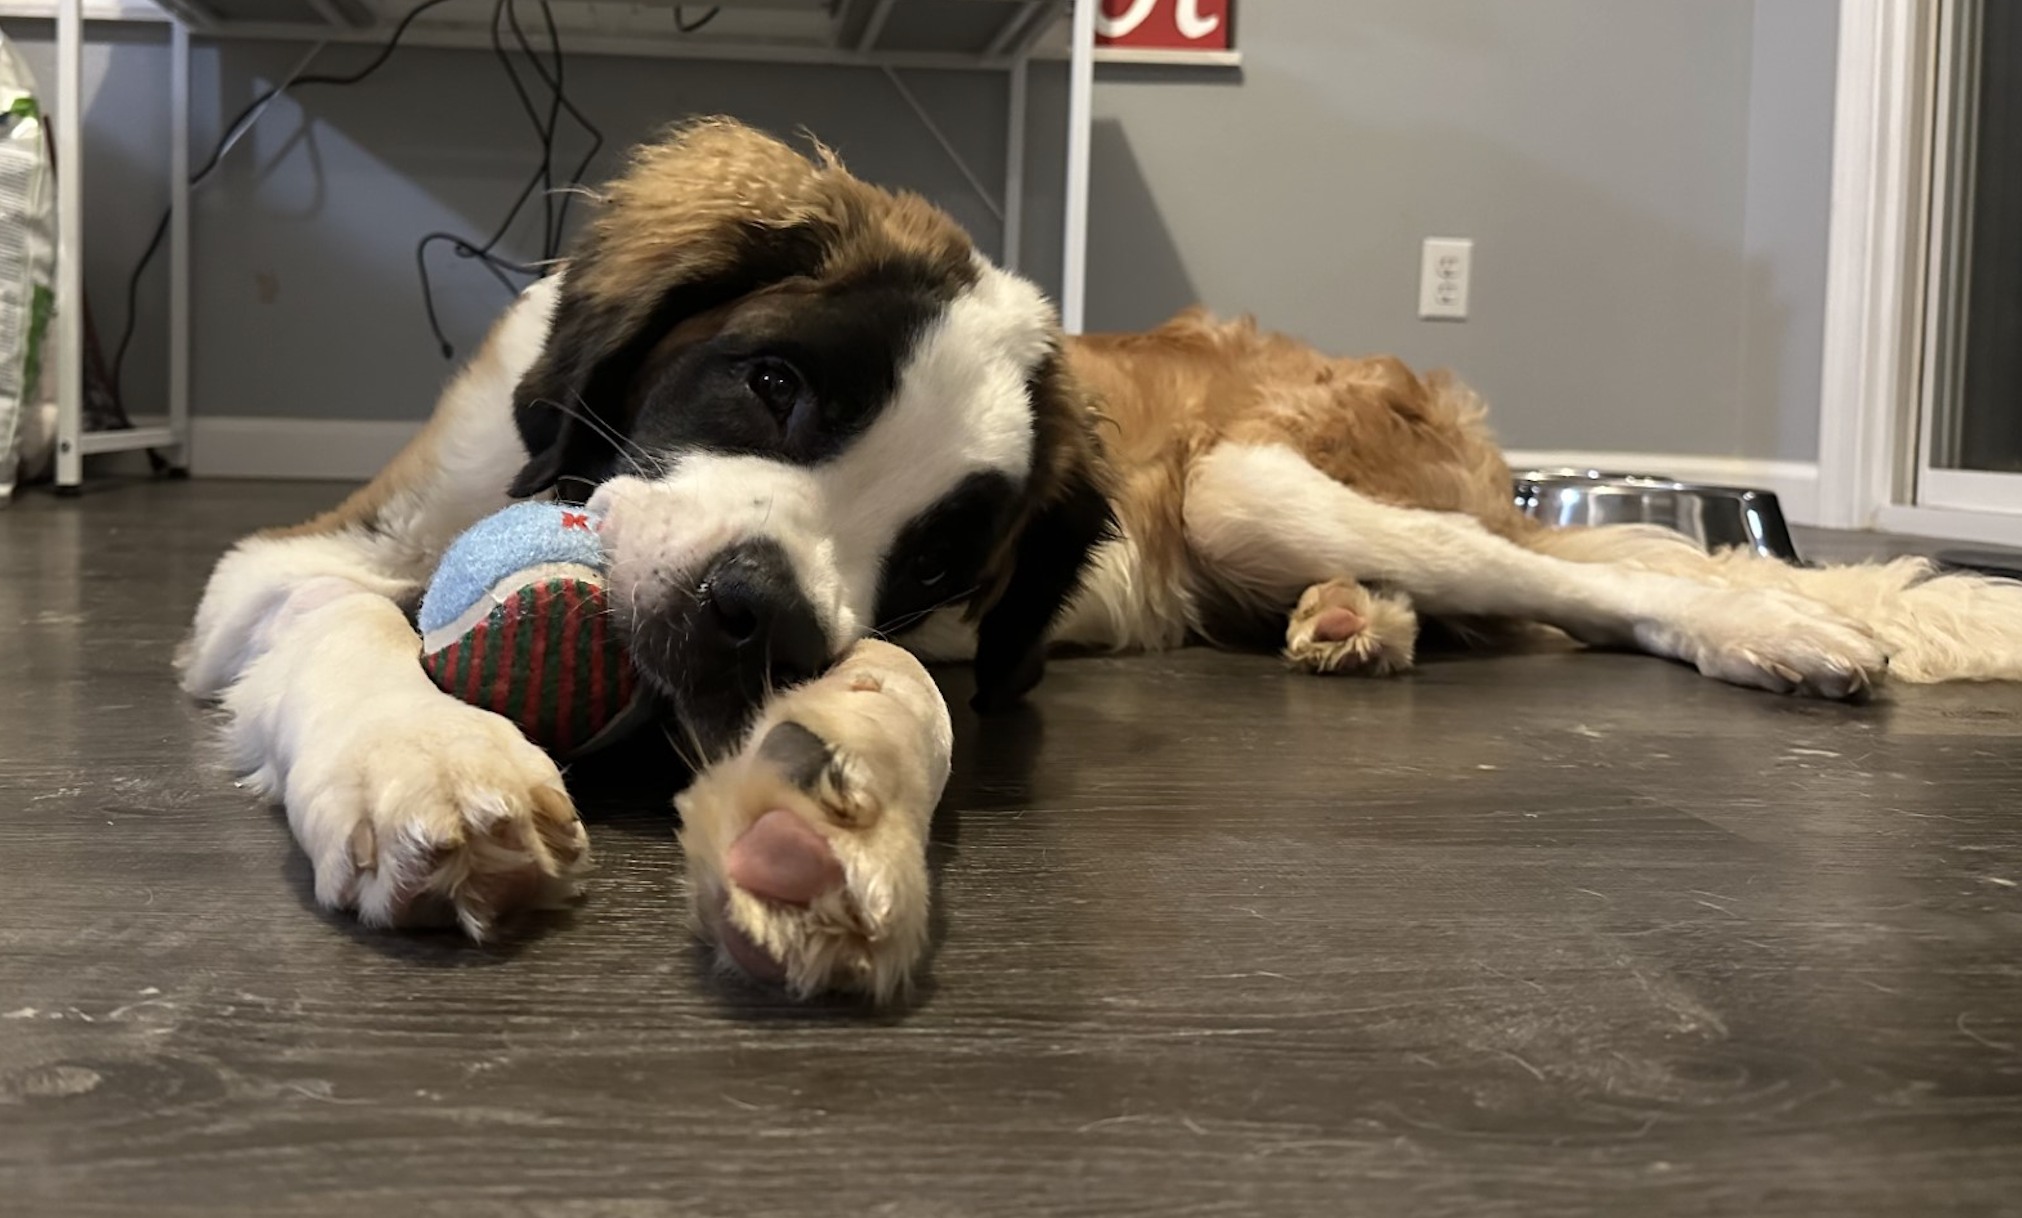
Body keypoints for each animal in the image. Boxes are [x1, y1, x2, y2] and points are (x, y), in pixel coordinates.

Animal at [181, 120, 2022, 995]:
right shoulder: (305, 550)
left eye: (941, 548)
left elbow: (914, 689)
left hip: (1258, 485)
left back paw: (1773, 626)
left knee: (1589, 579)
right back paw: (1363, 625)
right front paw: (426, 761)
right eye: (775, 384)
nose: (751, 615)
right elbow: (341, 614)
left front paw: (827, 795)